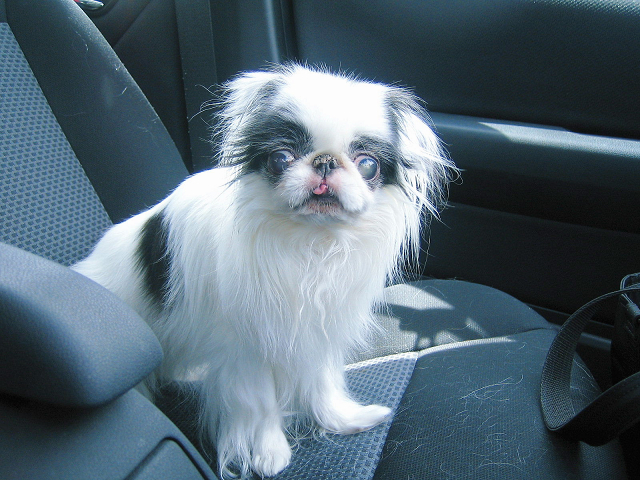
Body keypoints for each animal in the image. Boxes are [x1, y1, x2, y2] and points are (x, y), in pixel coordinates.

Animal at [73, 64, 455, 477]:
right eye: (282, 158)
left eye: (367, 164)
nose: (325, 161)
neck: (312, 243)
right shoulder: (247, 347)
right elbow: (261, 403)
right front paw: (270, 453)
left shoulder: (315, 332)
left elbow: (323, 384)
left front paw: (343, 421)